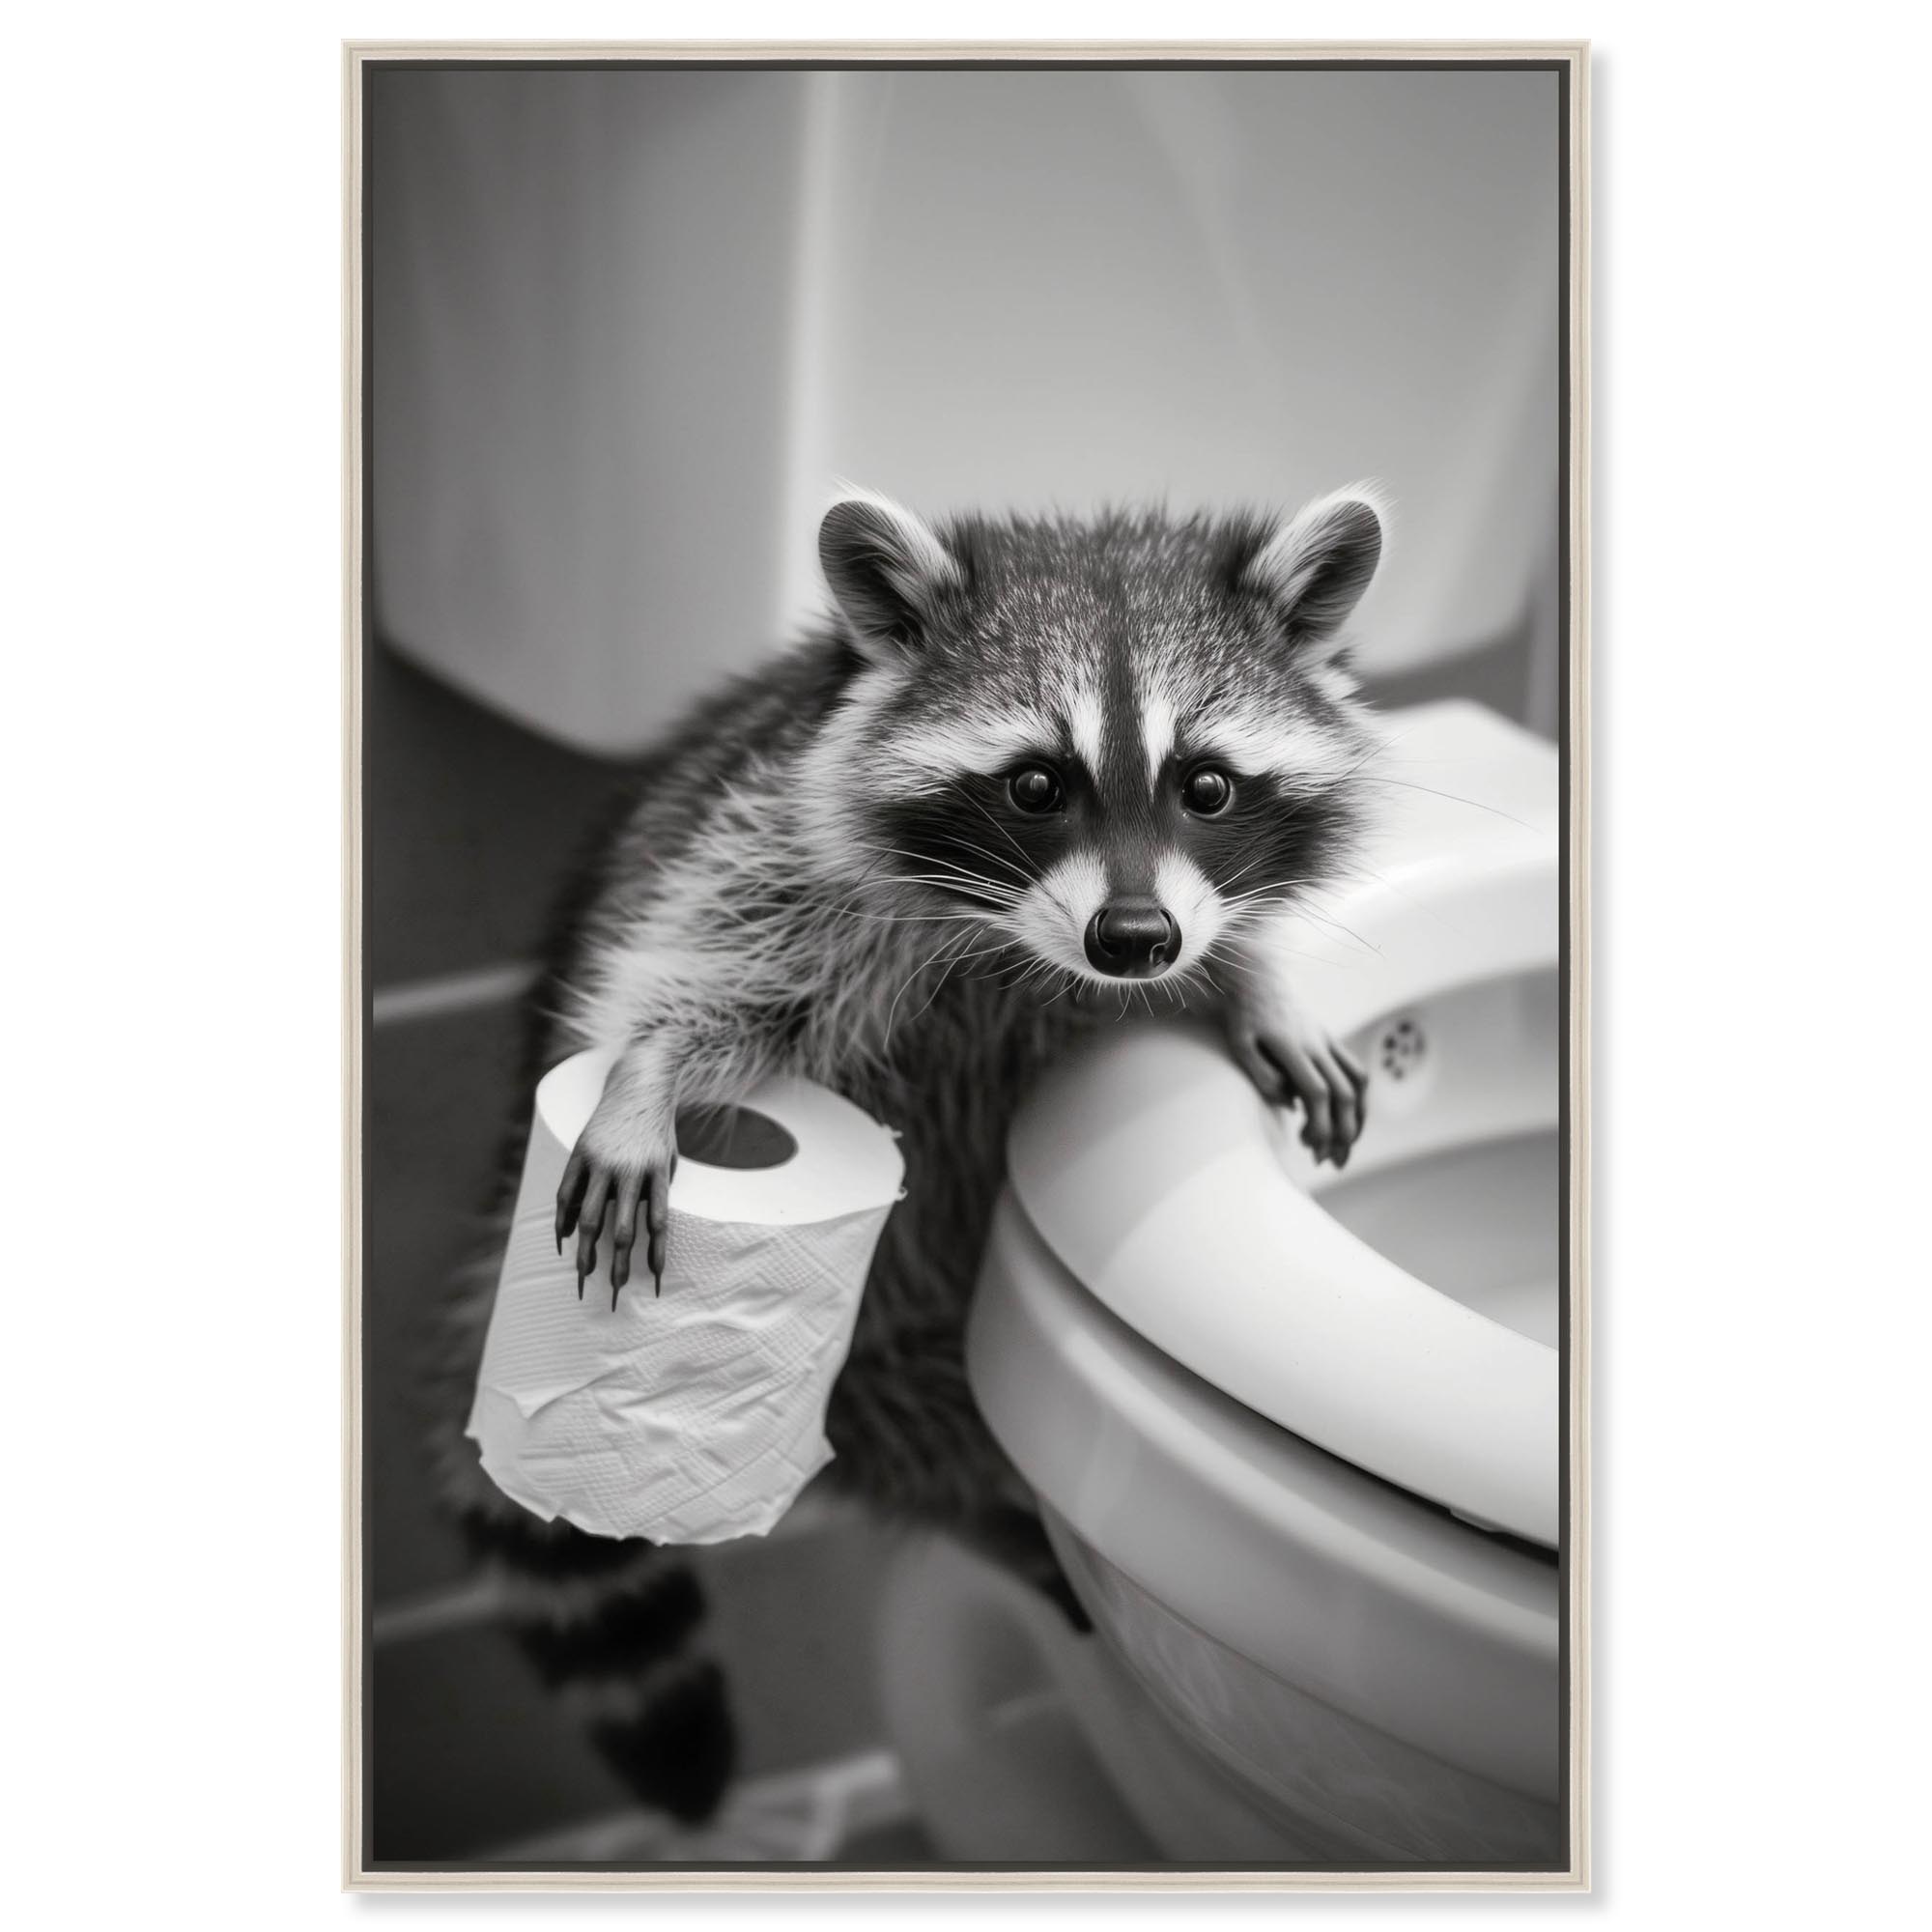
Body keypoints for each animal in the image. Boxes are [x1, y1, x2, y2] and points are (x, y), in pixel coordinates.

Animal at [422, 486, 1386, 1825]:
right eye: (1034, 784)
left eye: (1207, 785)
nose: (1133, 936)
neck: (1029, 955)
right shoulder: (777, 843)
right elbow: (712, 969)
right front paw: (646, 1070)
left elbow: (1217, 943)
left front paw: (1252, 983)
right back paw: (994, 1521)